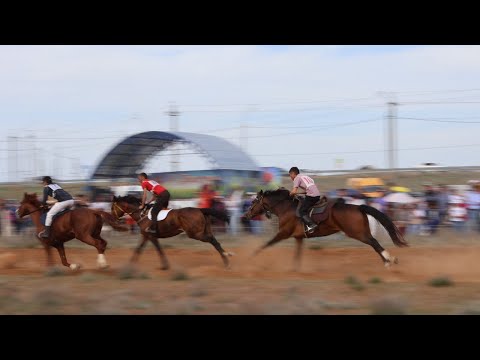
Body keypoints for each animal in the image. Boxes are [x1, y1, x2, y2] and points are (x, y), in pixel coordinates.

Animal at [246, 188, 406, 270]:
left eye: (254, 202)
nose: (246, 215)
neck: (285, 207)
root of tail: (358, 207)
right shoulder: (298, 237)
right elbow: (297, 254)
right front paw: (295, 269)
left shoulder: (283, 233)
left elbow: (265, 245)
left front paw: (252, 257)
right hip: (362, 232)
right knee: (375, 243)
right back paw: (388, 260)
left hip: (358, 233)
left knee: (374, 243)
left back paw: (388, 260)